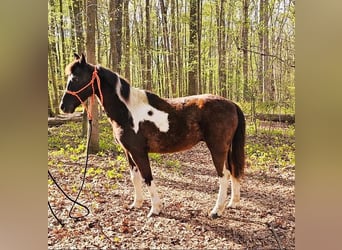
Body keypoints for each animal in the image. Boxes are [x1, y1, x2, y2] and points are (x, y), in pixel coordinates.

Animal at [59, 53, 246, 219]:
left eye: (76, 78)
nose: (63, 106)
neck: (128, 111)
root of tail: (231, 104)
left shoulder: (139, 152)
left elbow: (147, 177)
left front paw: (155, 209)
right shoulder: (129, 152)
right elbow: (135, 177)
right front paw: (137, 204)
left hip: (217, 148)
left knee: (224, 175)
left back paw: (216, 211)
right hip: (226, 149)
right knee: (233, 171)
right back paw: (232, 203)